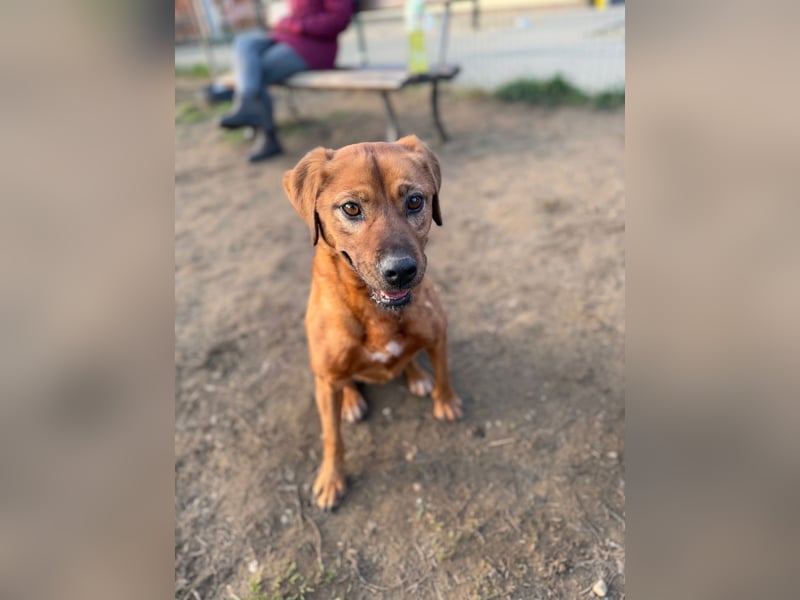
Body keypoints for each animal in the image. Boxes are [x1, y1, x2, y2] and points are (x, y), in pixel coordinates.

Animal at [282, 135, 463, 510]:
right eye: (351, 208)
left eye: (415, 200)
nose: (401, 271)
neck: (376, 310)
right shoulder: (326, 376)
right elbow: (332, 437)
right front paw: (331, 480)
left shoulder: (438, 335)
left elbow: (444, 373)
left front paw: (446, 402)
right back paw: (351, 401)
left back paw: (416, 375)